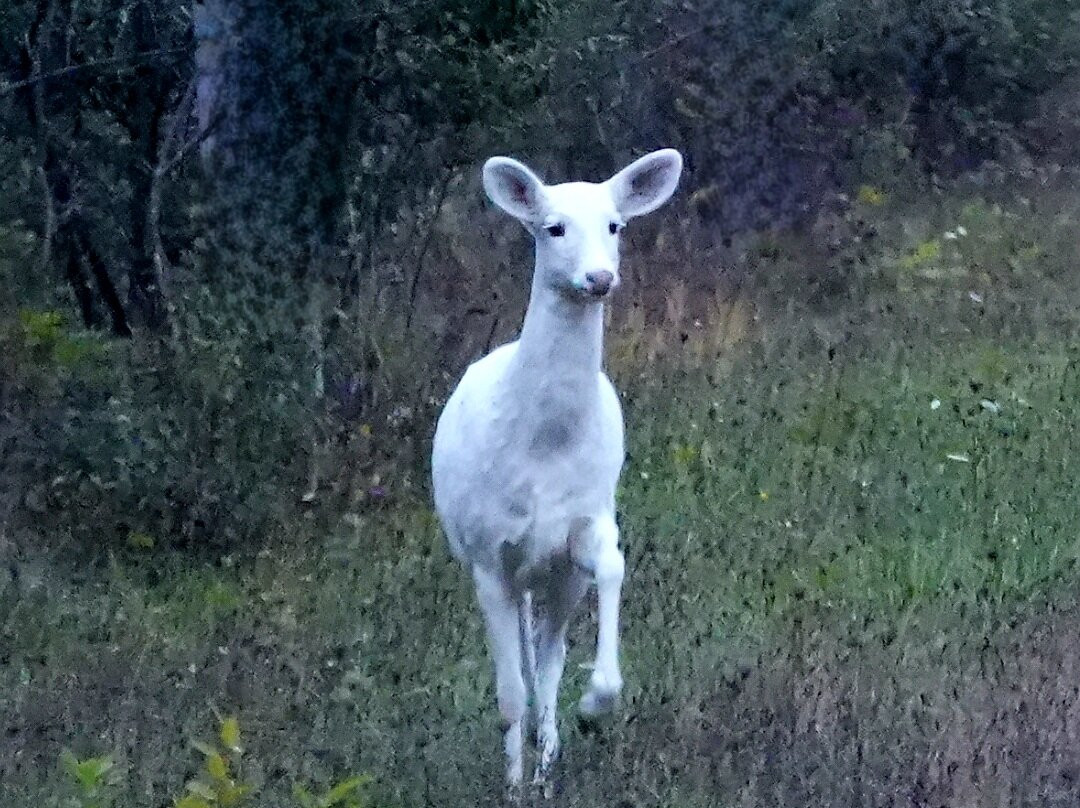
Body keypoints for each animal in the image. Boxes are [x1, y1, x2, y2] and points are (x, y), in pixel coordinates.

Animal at [429, 147, 682, 790]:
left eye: (615, 225)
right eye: (553, 228)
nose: (599, 279)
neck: (543, 448)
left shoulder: (584, 525)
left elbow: (611, 572)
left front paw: (596, 703)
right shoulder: (489, 554)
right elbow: (507, 693)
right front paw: (512, 787)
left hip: (553, 576)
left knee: (548, 659)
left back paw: (548, 761)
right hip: (504, 564)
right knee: (524, 663)